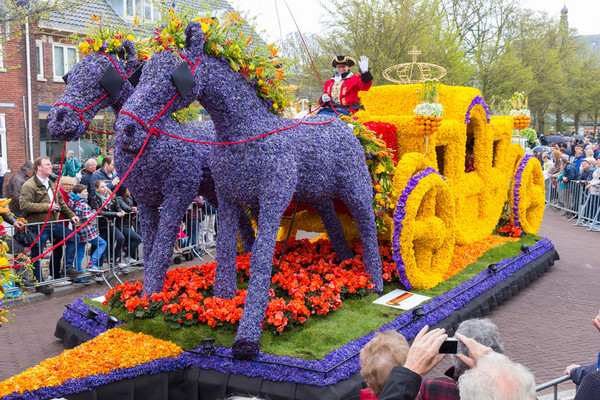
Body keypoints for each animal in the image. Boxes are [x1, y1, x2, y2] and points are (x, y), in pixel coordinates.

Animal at [45, 41, 253, 294]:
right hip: (216, 192)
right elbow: (152, 248)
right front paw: (149, 295)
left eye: (98, 78)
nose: (58, 119)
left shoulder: (178, 193)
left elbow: (161, 248)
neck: (151, 140)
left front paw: (151, 295)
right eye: (71, 76)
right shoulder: (146, 199)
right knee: (245, 224)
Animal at [117, 23, 384, 358]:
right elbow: (227, 251)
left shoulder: (271, 201)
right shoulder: (228, 199)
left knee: (368, 226)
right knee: (334, 224)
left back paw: (374, 282)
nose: (126, 129)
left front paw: (246, 337)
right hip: (320, 194)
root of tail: (343, 125)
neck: (244, 135)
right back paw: (346, 262)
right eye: (140, 75)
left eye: (171, 76)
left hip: (356, 189)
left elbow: (258, 258)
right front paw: (221, 303)